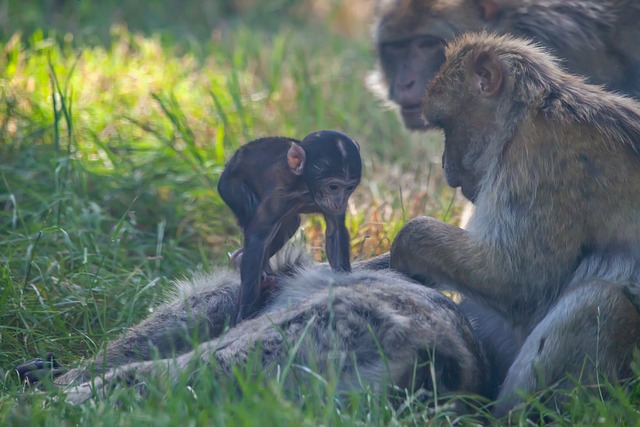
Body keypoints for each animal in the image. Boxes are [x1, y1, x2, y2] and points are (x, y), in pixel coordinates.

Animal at [219, 130, 360, 324]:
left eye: (349, 188)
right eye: (333, 186)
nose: (340, 202)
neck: (305, 186)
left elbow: (335, 232)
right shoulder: (279, 195)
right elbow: (257, 238)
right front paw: (245, 315)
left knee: (288, 225)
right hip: (230, 187)